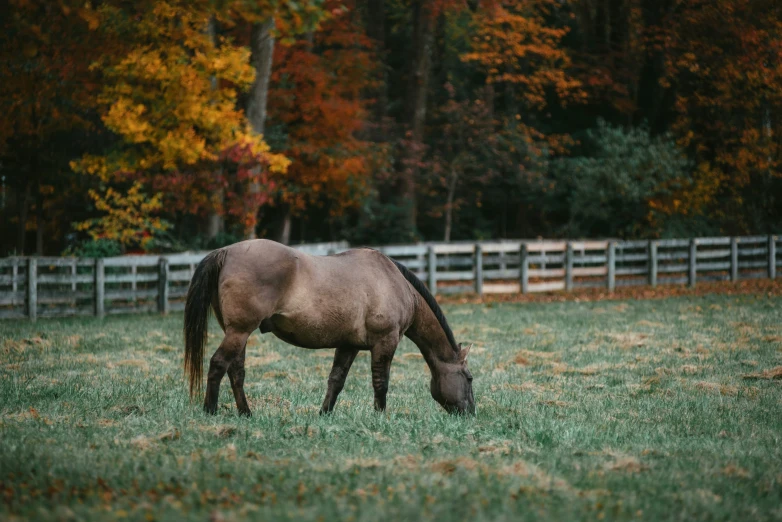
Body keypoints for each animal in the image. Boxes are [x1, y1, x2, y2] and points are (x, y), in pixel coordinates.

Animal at [185, 239, 478, 414]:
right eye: (469, 378)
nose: (471, 413)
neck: (394, 282)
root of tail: (226, 252)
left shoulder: (348, 345)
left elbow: (336, 381)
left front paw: (324, 414)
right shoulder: (385, 342)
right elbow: (381, 383)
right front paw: (380, 417)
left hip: (238, 333)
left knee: (236, 371)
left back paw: (246, 413)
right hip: (239, 331)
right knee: (218, 364)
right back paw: (210, 411)